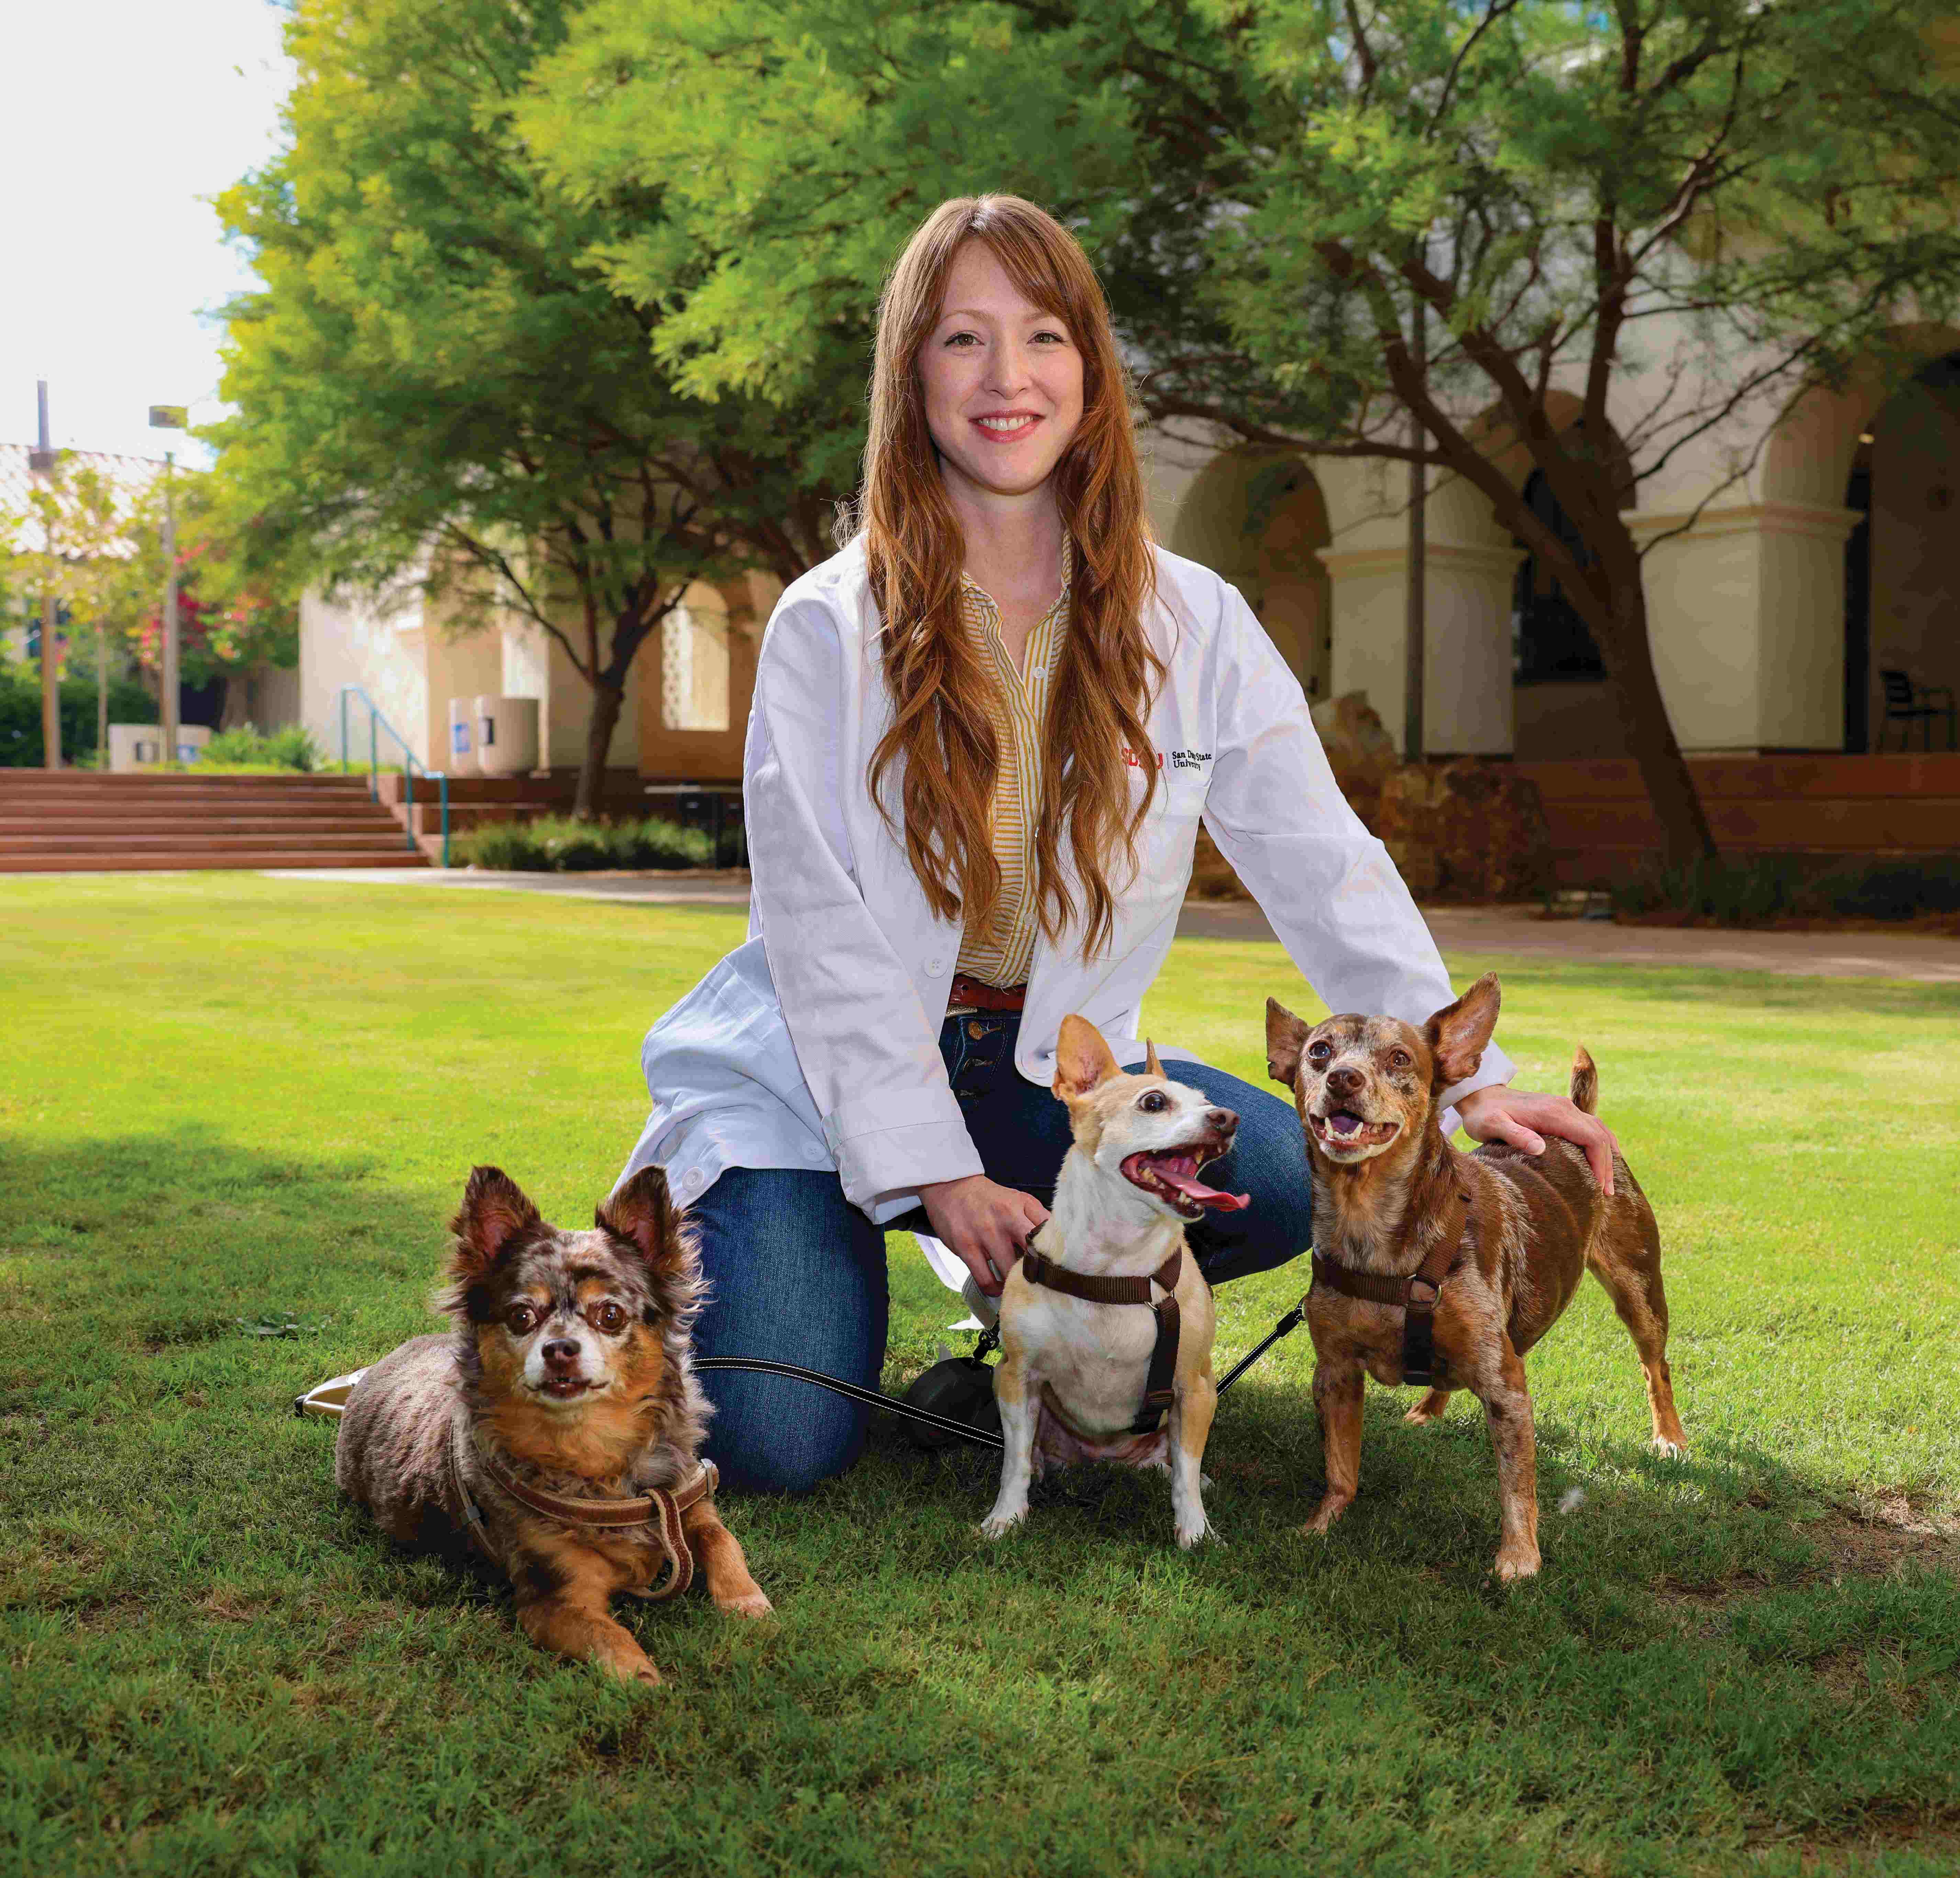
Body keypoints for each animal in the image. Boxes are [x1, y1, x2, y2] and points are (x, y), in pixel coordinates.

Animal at [337, 1168, 764, 1686]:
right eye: (522, 1316)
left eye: (610, 1314)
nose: (559, 1348)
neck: (593, 1457)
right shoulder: (556, 1601)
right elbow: (614, 1642)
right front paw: (654, 1687)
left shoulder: (689, 1501)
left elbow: (722, 1540)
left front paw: (748, 1604)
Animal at [1270, 976, 1685, 1584]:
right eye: (1319, 1052)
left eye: (1400, 1058)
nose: (1343, 1077)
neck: (1370, 1225)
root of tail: (1577, 1114)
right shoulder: (1336, 1374)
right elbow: (1341, 1467)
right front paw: (1320, 1526)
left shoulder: (1505, 1385)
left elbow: (1517, 1483)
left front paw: (1519, 1557)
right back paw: (1427, 1409)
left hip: (1640, 1294)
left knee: (1656, 1370)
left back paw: (1670, 1437)